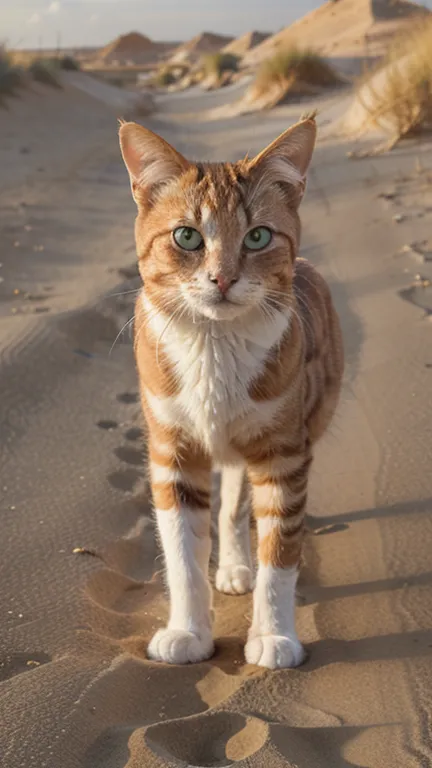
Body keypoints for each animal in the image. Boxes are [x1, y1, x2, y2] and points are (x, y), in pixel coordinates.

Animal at [119, 114, 344, 664]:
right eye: (186, 236)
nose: (222, 279)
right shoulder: (172, 452)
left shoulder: (284, 453)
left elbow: (279, 553)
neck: (214, 348)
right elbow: (181, 554)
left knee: (238, 506)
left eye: (258, 237)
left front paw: (274, 636)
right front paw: (187, 631)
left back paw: (239, 565)